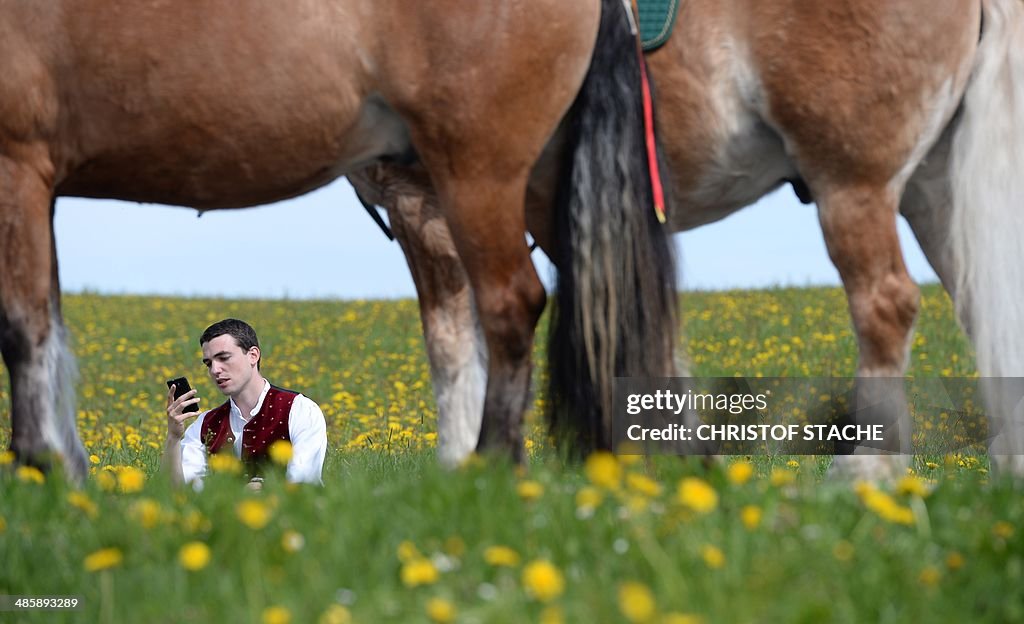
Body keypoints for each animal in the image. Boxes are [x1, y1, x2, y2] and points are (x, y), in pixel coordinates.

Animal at [2, 0, 679, 479]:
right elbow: (50, 327)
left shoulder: (19, 165)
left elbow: (23, 327)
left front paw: (41, 469)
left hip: (478, 172)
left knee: (511, 305)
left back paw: (489, 466)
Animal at [350, 0, 1024, 477]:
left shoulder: (431, 205)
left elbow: (451, 343)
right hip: (935, 192)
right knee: (983, 306)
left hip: (855, 183)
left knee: (886, 304)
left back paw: (868, 471)